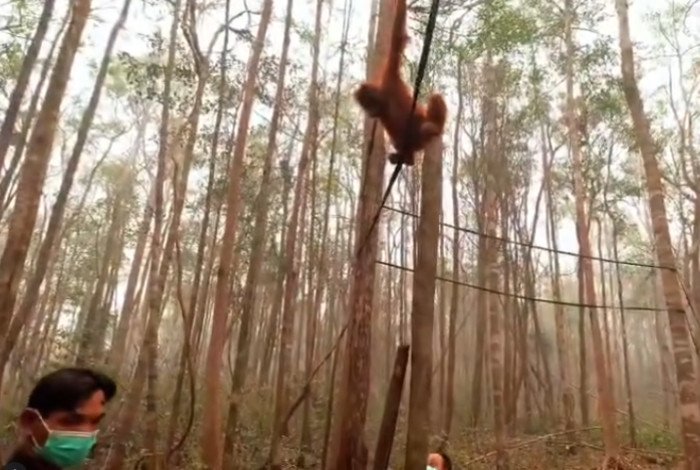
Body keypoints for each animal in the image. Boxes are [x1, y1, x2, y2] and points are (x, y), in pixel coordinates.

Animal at [353, 0, 447, 166]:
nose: (370, 112)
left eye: (368, 103)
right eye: (364, 107)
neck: (385, 99)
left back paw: (434, 127)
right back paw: (407, 159)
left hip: (425, 132)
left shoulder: (390, 76)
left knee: (433, 103)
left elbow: (397, 38)